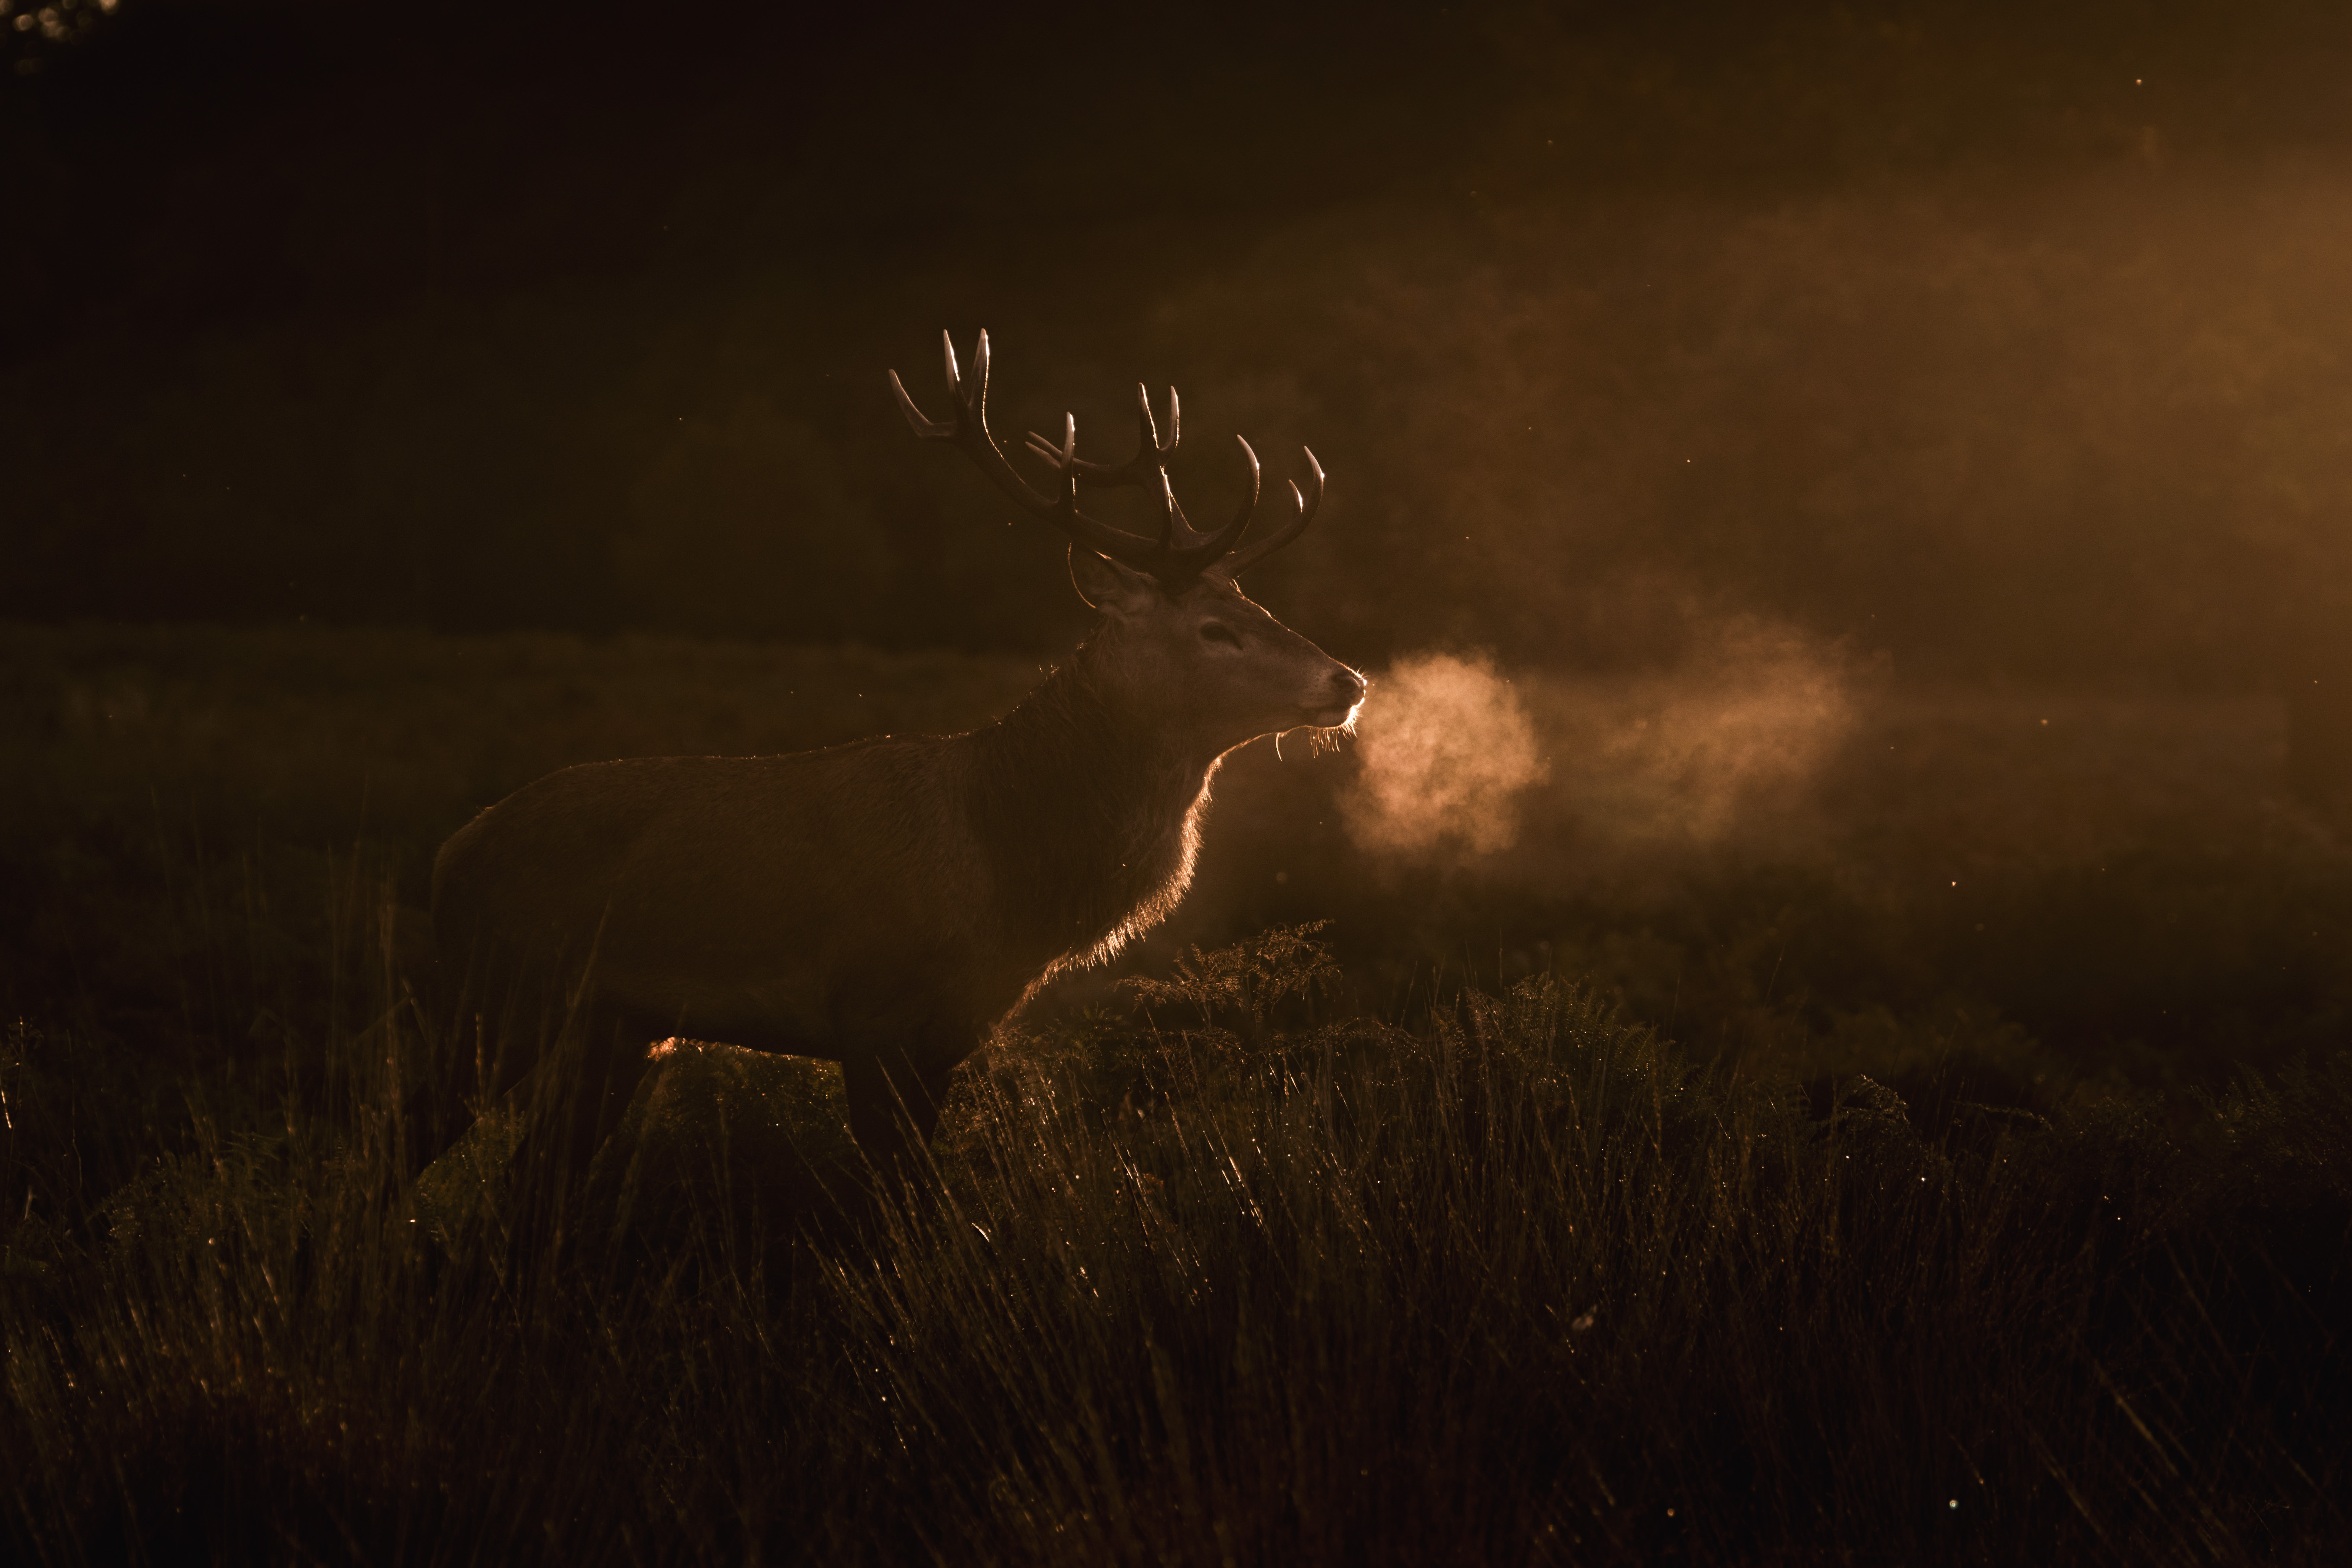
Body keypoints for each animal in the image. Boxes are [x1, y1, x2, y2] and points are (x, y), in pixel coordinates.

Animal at [433, 334, 1373, 1189]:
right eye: (1215, 628)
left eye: (1253, 603)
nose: (1349, 679)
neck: (1009, 876)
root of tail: (453, 852)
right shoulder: (872, 1011)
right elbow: (905, 1203)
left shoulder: (953, 1030)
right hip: (492, 995)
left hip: (613, 1026)